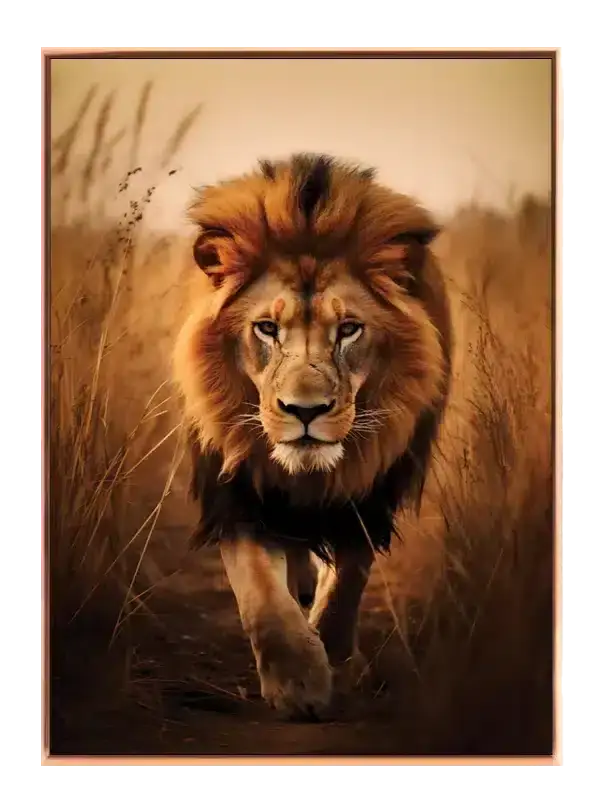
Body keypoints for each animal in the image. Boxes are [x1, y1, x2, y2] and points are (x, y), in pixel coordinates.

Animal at [173, 153, 453, 719]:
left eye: (348, 329)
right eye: (266, 329)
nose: (305, 411)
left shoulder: (369, 497)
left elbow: (347, 583)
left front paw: (336, 660)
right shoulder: (237, 496)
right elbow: (261, 595)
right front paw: (297, 681)